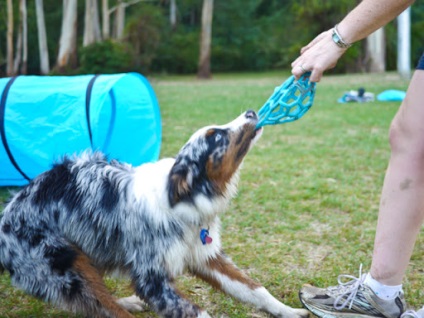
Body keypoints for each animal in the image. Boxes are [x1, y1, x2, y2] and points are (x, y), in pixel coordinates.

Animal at [0, 110, 308, 316]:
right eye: (217, 136)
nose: (251, 112)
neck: (185, 200)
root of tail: (7, 213)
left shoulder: (205, 256)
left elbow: (254, 289)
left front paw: (290, 311)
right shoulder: (151, 279)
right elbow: (200, 312)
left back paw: (127, 301)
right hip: (65, 268)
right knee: (105, 309)